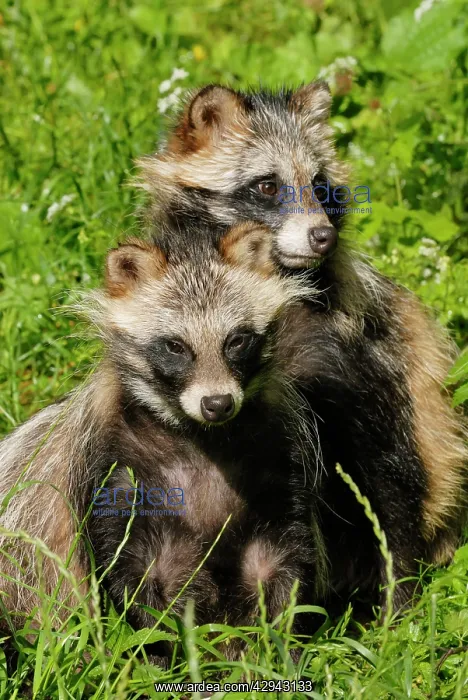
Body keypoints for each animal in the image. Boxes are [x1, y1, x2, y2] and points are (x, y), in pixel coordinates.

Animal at [0, 223, 326, 650]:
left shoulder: (275, 454)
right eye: (175, 347)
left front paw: (278, 644)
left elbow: (284, 558)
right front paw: (159, 652)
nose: (217, 403)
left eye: (236, 340)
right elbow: (129, 572)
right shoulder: (112, 467)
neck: (202, 439)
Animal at [135, 83, 467, 611]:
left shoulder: (357, 355)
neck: (276, 280)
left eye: (320, 184)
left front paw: (399, 596)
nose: (323, 236)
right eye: (267, 186)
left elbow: (387, 473)